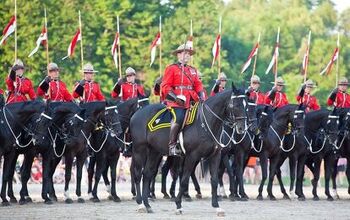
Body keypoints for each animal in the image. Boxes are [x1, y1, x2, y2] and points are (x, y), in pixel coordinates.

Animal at [130, 86, 247, 217]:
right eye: (235, 105)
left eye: (245, 105)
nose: (242, 128)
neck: (206, 123)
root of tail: (137, 114)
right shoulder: (192, 156)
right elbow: (184, 180)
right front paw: (178, 205)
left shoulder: (215, 156)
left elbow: (214, 180)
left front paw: (217, 206)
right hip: (140, 150)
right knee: (137, 174)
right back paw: (140, 204)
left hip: (154, 152)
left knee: (147, 174)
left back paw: (147, 204)